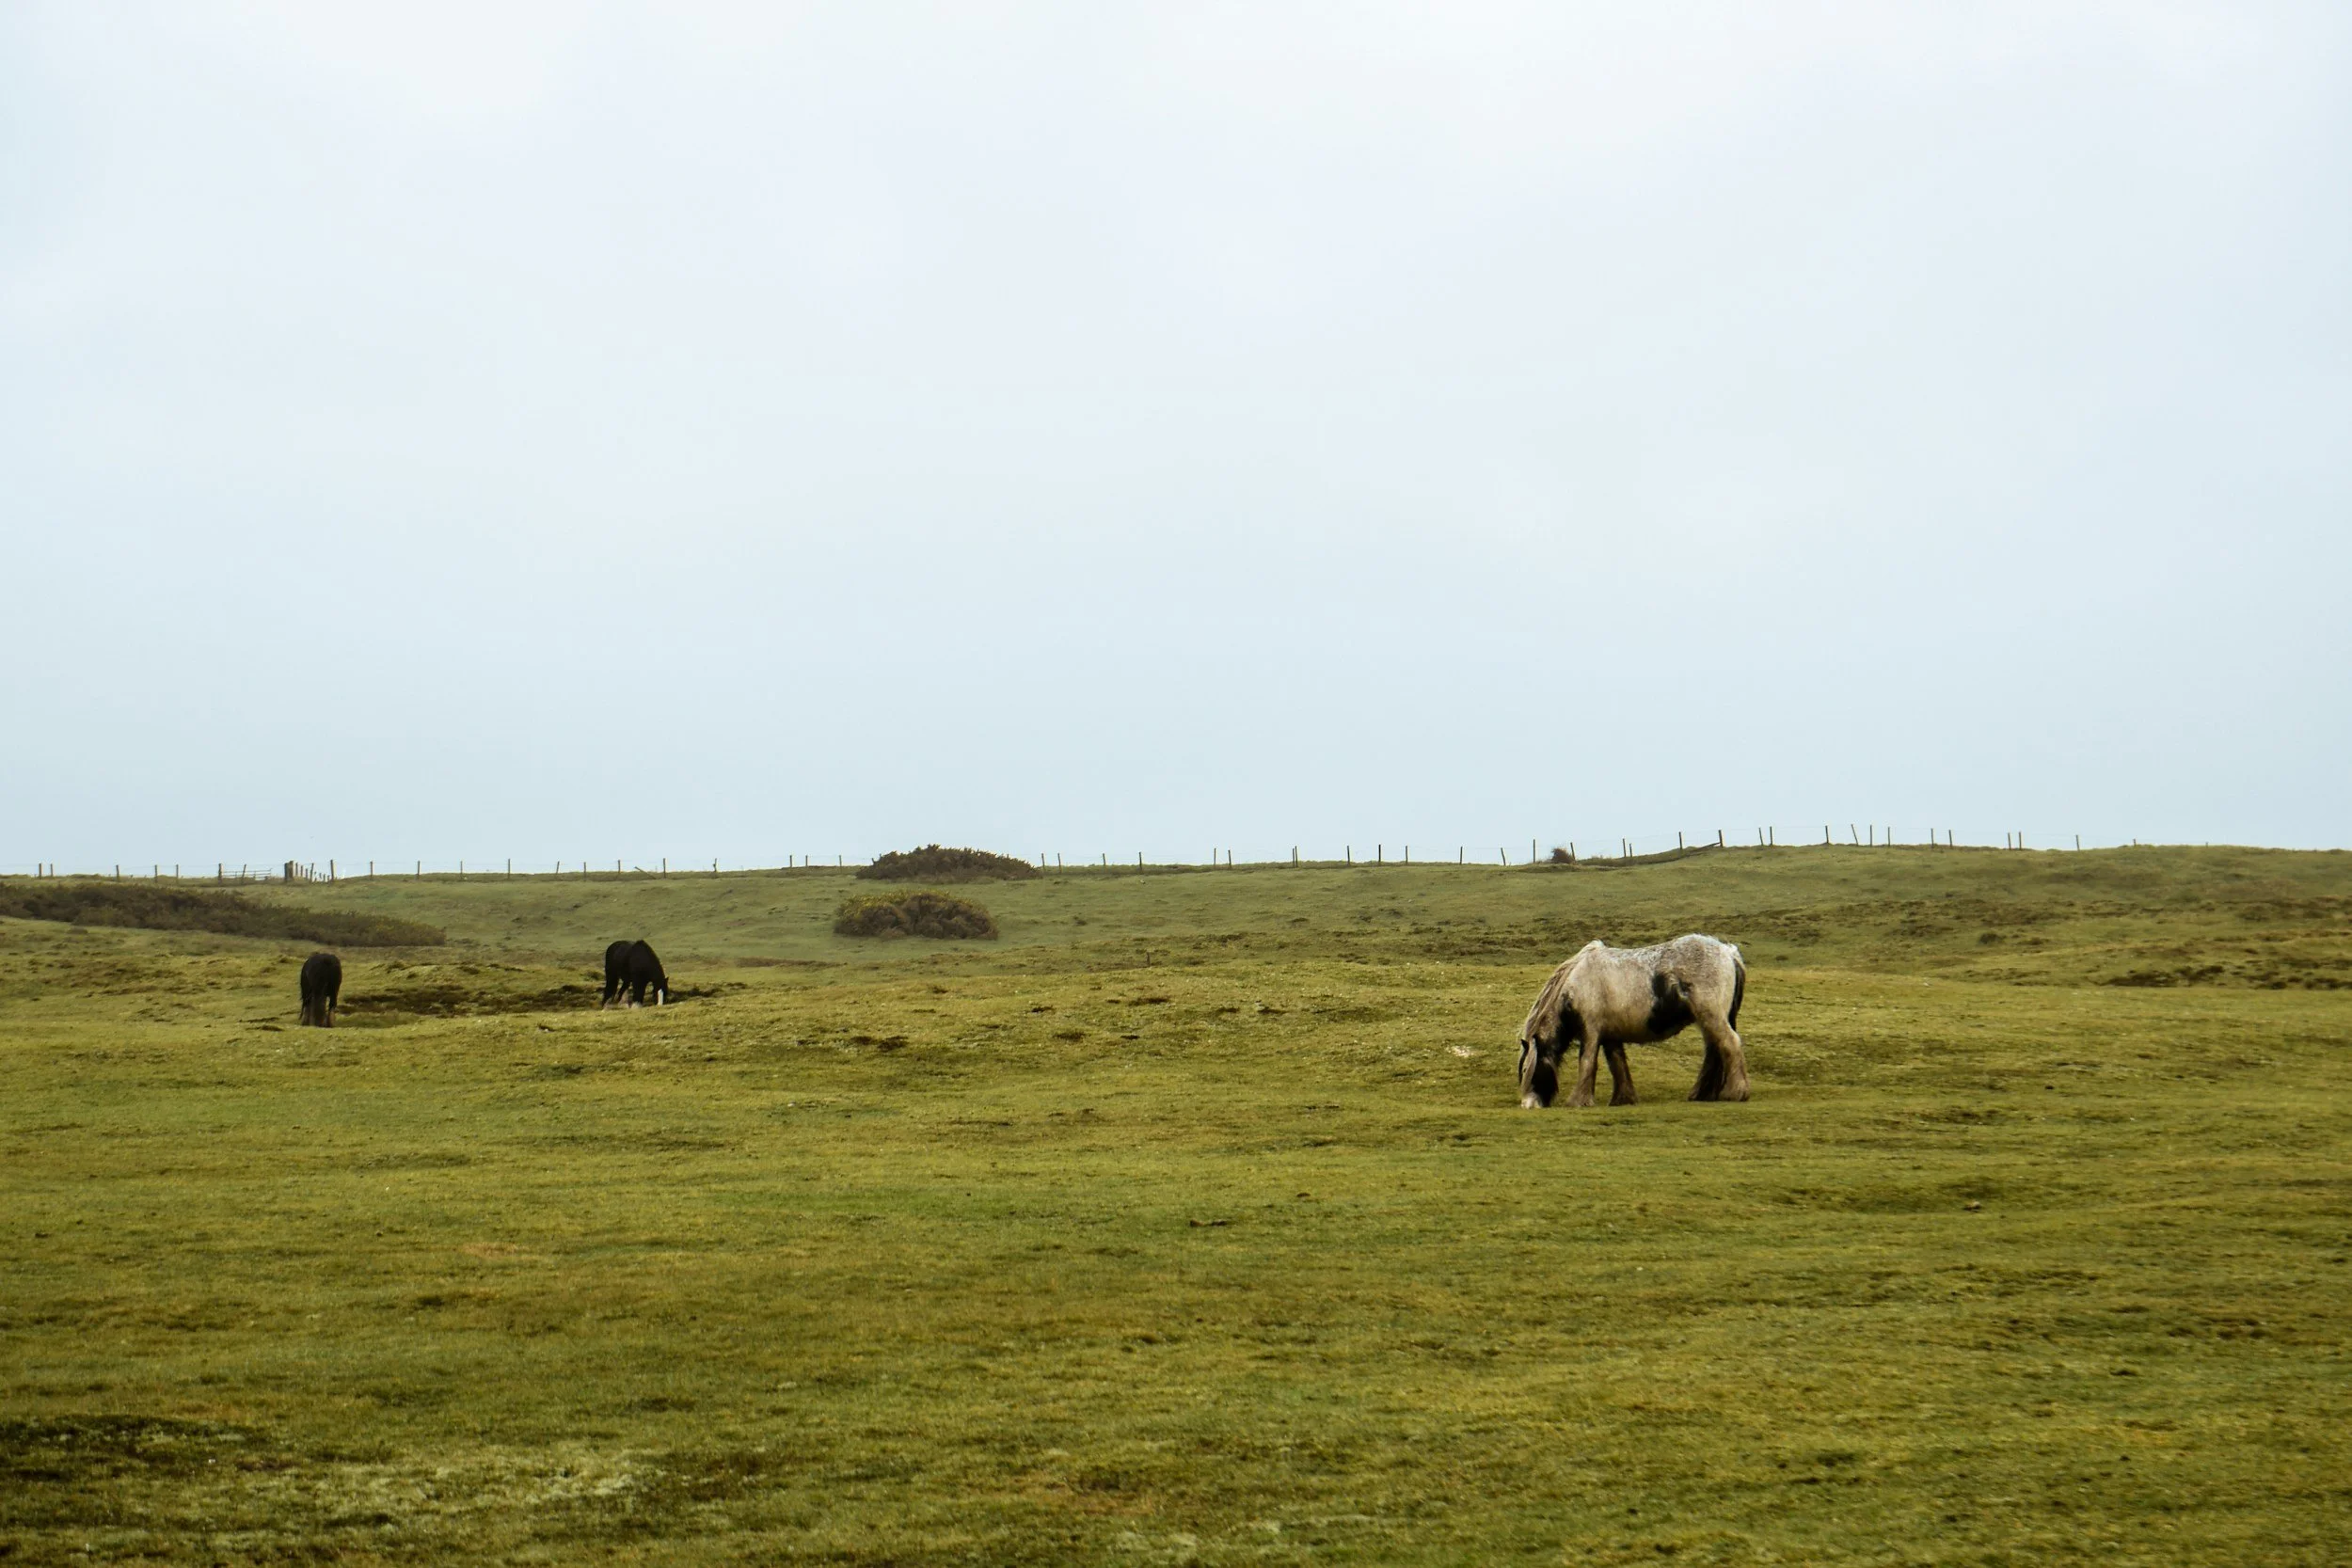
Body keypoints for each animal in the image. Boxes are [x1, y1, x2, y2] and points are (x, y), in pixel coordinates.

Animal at [1517, 934, 1748, 1107]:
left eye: (1528, 1070)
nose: (1528, 1105)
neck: (1576, 983)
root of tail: (1728, 952)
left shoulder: (1590, 1031)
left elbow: (1587, 1062)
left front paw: (1578, 1101)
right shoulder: (1610, 1035)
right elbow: (1617, 1064)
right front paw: (1623, 1098)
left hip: (1712, 1016)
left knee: (1730, 1044)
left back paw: (1735, 1093)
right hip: (1709, 1019)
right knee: (1715, 1049)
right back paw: (1703, 1094)